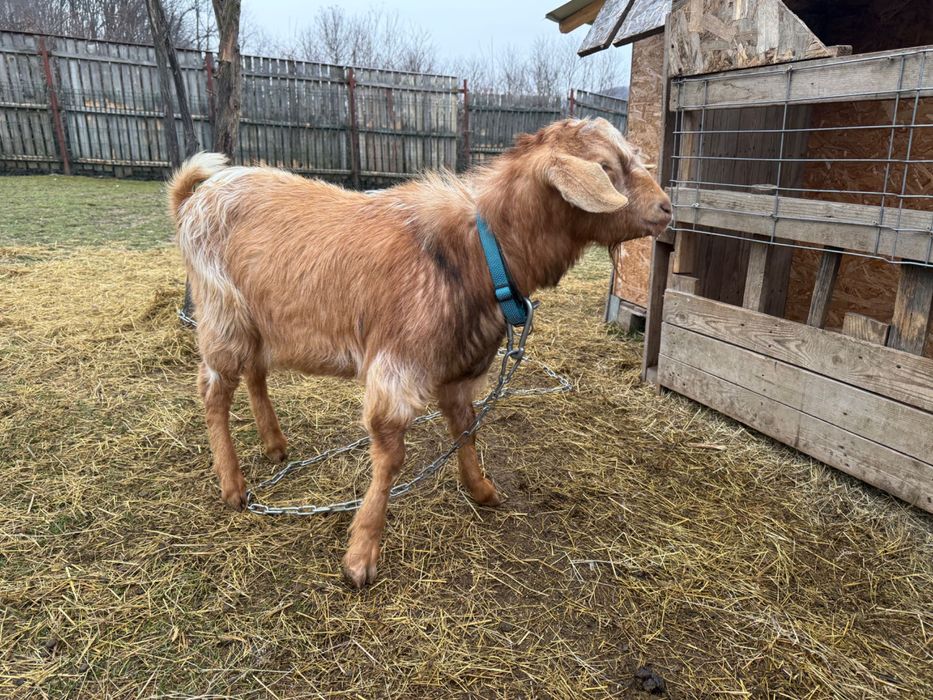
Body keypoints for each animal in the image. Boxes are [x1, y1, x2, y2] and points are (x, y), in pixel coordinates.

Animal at [169, 117, 672, 587]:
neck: (479, 252)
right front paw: (361, 555)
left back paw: (274, 445)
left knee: (254, 373)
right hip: (222, 313)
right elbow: (391, 457)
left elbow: (466, 428)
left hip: (257, 322)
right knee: (214, 389)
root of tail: (193, 198)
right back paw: (233, 486)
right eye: (606, 167)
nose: (667, 208)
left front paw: (481, 490)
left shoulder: (455, 367)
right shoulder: (398, 366)